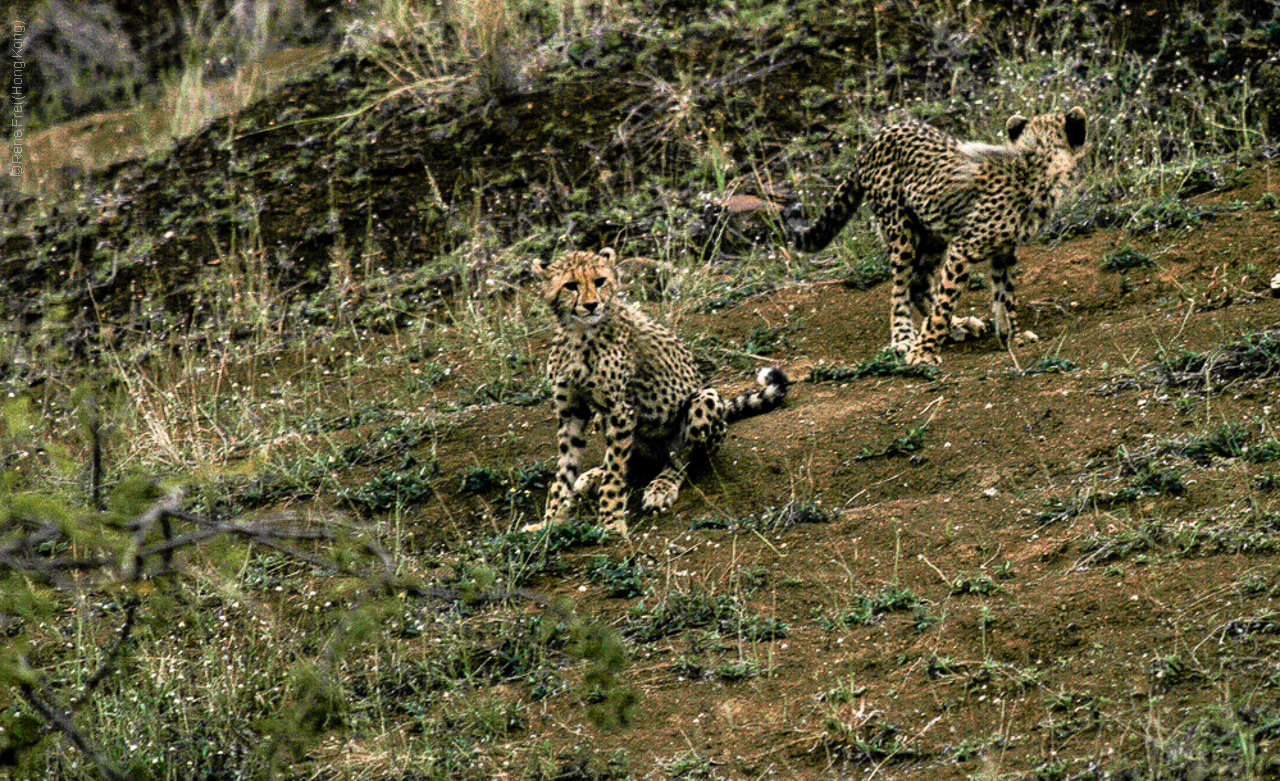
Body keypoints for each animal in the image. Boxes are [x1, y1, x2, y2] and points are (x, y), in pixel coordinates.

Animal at [522, 249, 788, 535]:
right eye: (570, 286)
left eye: (600, 281)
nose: (592, 305)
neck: (578, 332)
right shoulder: (572, 412)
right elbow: (565, 470)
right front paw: (549, 523)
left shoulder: (621, 410)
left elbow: (615, 473)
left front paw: (611, 524)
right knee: (630, 459)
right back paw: (595, 475)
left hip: (704, 399)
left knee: (682, 456)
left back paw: (662, 486)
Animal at [788, 106, 1090, 363]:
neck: (1033, 164)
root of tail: (879, 135)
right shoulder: (964, 248)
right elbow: (946, 300)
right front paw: (924, 351)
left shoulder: (1004, 250)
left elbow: (1005, 296)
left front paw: (1012, 337)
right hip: (900, 229)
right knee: (901, 287)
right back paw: (904, 337)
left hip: (934, 232)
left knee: (919, 281)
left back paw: (959, 325)